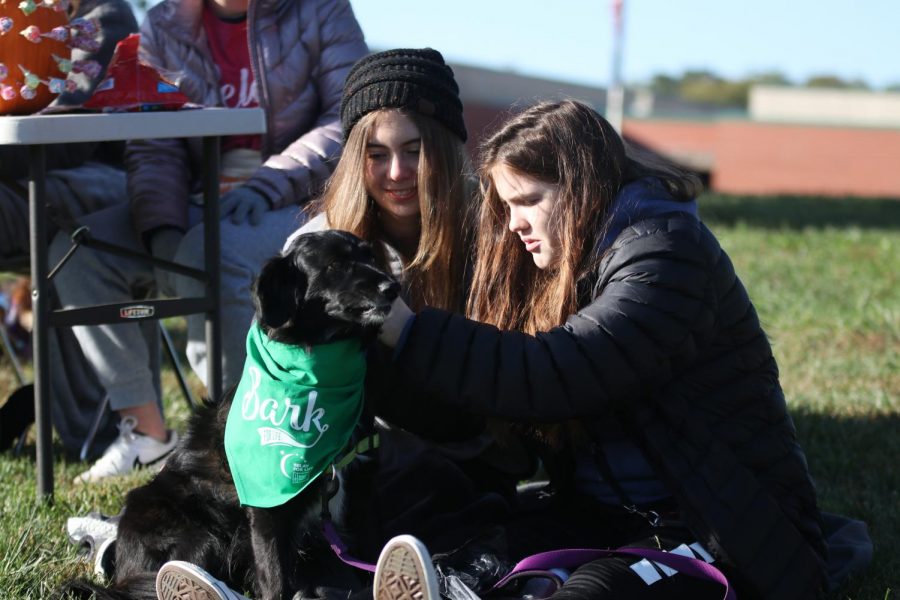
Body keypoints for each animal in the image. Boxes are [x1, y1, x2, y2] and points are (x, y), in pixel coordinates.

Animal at [59, 230, 400, 600]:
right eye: (335, 265)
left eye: (370, 257)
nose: (392, 287)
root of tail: (122, 565)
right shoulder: (267, 508)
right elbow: (276, 580)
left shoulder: (362, 495)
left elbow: (369, 558)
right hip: (200, 534)